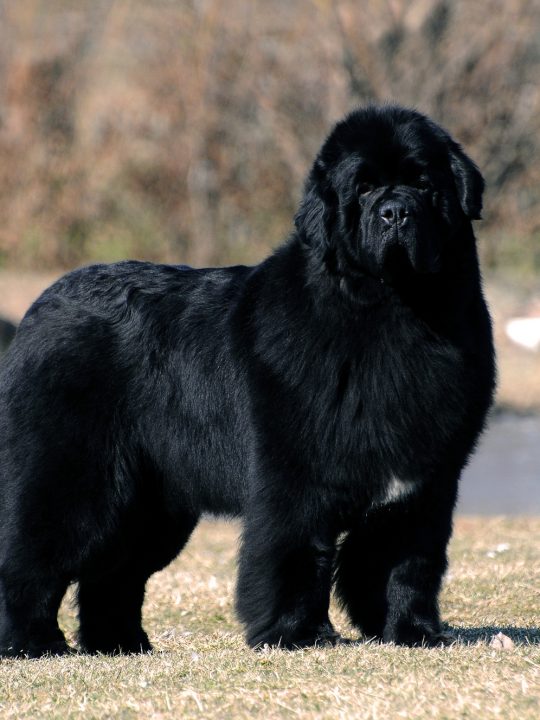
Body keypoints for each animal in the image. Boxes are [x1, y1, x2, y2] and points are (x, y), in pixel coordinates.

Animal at [0, 102, 494, 660]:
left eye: (425, 185)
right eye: (364, 189)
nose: (396, 212)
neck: (393, 313)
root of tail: (40, 307)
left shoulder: (424, 484)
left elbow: (406, 564)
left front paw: (413, 632)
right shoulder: (295, 479)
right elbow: (295, 553)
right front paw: (296, 634)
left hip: (152, 506)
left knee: (114, 574)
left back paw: (122, 644)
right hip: (71, 478)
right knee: (33, 561)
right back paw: (35, 643)